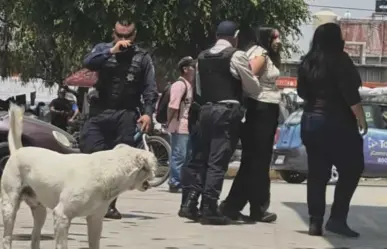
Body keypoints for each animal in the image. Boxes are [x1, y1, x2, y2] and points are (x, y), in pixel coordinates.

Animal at [0, 102, 158, 248]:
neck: (107, 170)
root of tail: (17, 151)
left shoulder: (95, 219)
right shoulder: (62, 216)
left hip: (39, 210)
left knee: (35, 236)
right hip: (10, 207)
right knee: (7, 237)